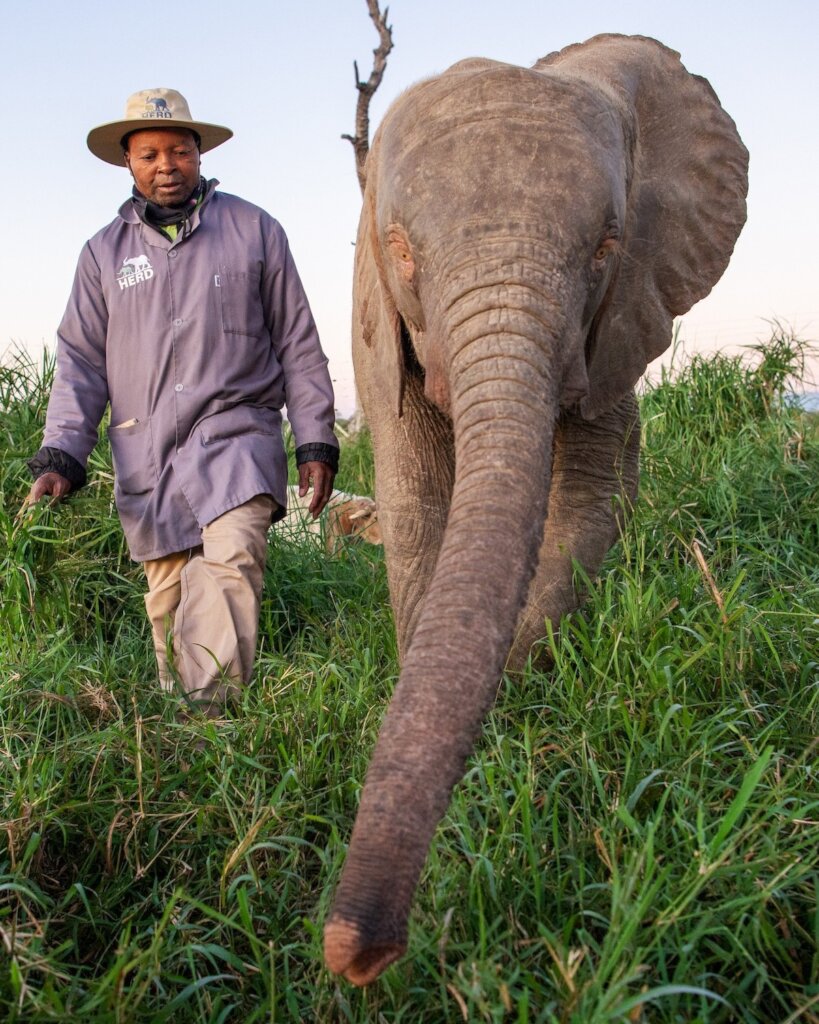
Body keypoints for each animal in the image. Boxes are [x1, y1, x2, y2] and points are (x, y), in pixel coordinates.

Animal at [323, 33, 748, 985]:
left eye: (603, 248)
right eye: (401, 250)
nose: (357, 956)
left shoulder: (622, 314)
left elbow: (589, 496)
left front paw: (511, 700)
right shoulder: (378, 323)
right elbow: (416, 500)